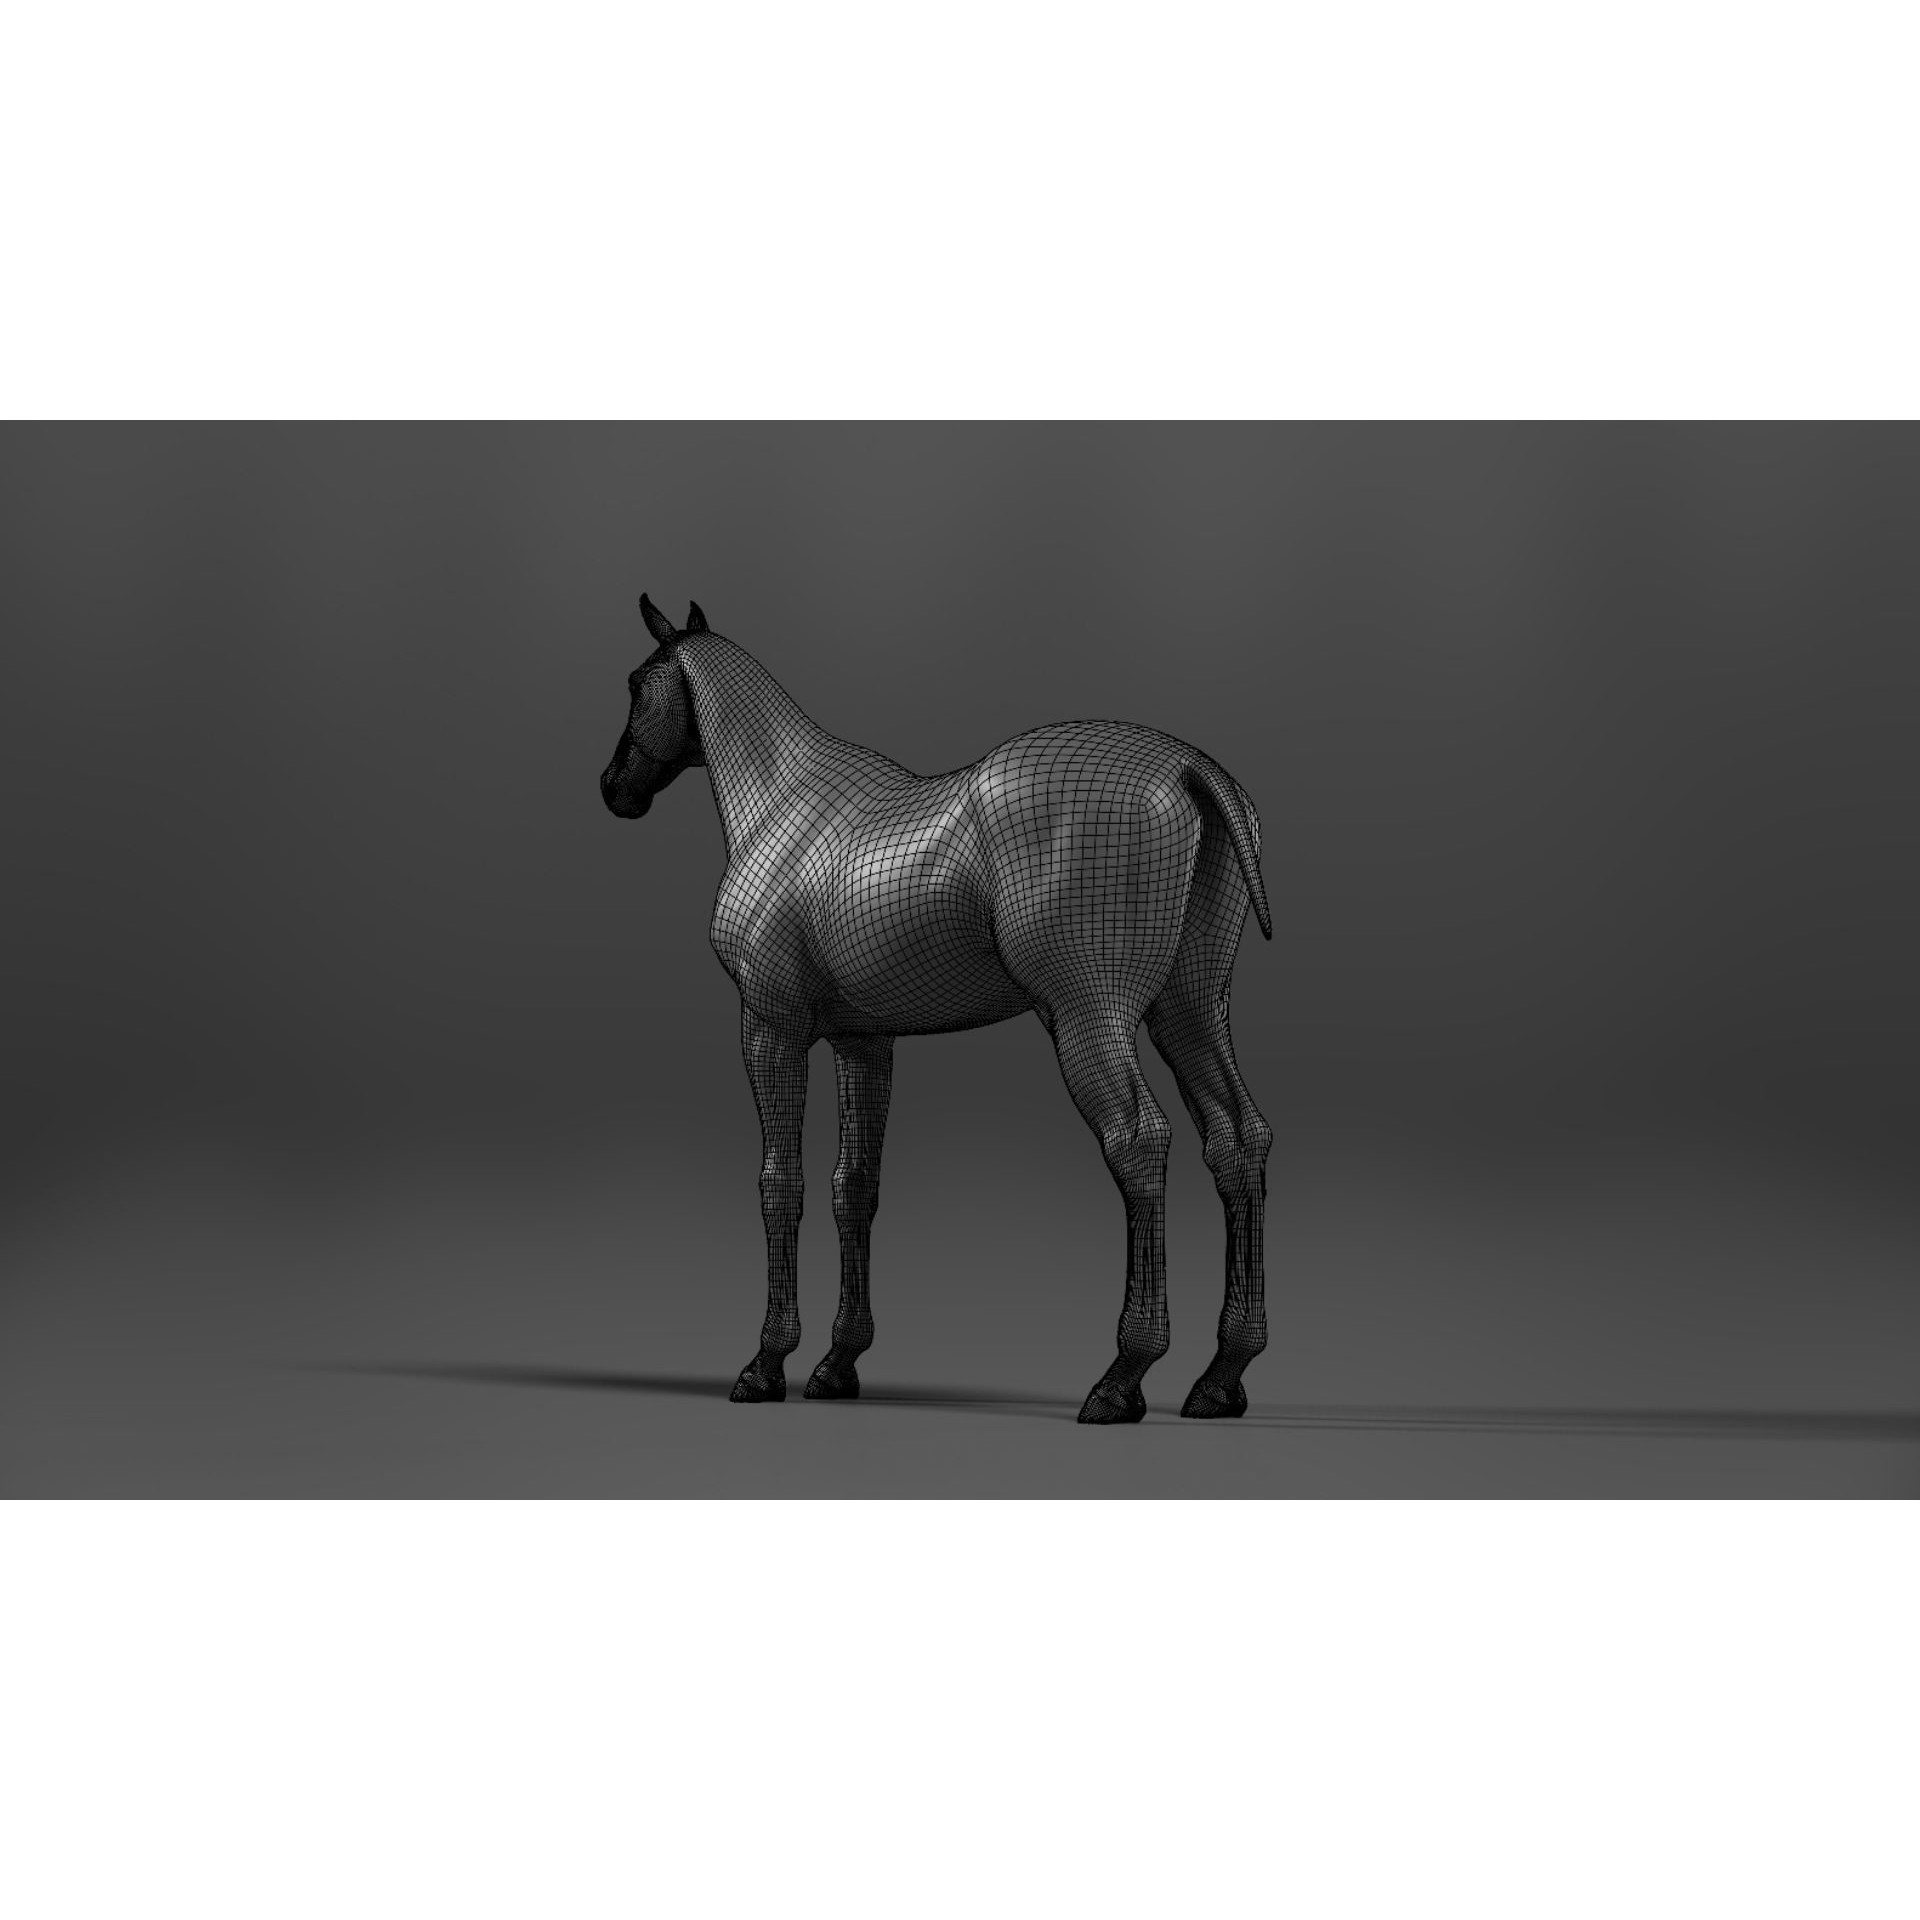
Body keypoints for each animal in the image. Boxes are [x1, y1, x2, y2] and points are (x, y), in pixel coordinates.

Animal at [600, 595, 1273, 1424]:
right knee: (1237, 1141)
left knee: (1138, 1140)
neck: (785, 803)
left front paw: (766, 1364)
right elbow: (853, 1187)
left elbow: (780, 1185)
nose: (614, 787)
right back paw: (1222, 1374)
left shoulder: (770, 1029)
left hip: (1091, 1017)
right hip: (1190, 1012)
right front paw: (837, 1363)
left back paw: (1122, 1377)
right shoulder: (864, 1042)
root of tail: (1187, 768)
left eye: (637, 683)